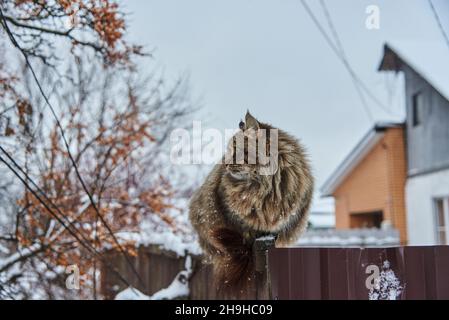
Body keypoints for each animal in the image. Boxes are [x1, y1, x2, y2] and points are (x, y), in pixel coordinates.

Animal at [188, 112, 312, 290]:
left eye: (237, 150)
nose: (225, 164)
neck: (265, 187)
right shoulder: (226, 209)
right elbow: (243, 225)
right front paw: (251, 235)